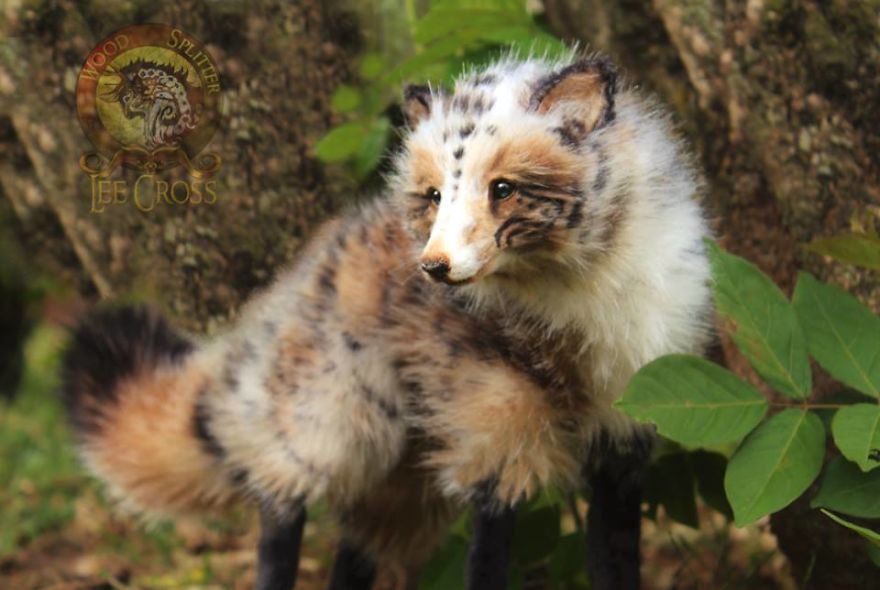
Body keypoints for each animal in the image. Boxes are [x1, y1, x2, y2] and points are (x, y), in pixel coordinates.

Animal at [62, 52, 713, 590]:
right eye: (434, 196)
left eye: (503, 189)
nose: (432, 267)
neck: (573, 301)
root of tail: (290, 285)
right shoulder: (497, 442)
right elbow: (487, 566)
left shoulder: (623, 439)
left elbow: (614, 564)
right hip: (328, 430)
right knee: (278, 512)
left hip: (401, 484)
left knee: (350, 561)